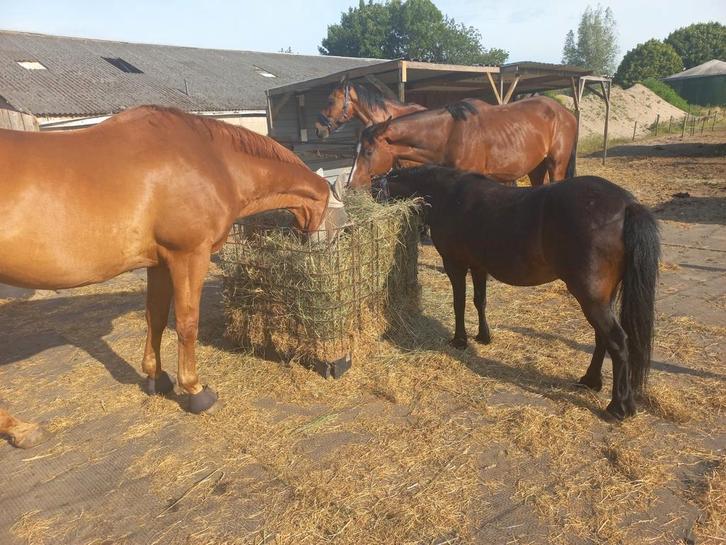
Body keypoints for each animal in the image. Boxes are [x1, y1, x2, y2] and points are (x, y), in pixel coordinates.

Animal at [0, 105, 340, 448]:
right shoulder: (188, 256)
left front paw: (157, 378)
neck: (213, 159)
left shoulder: (160, 263)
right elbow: (187, 324)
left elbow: (157, 319)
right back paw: (21, 428)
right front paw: (196, 391)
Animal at [348, 96, 577, 189]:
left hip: (556, 164)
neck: (450, 133)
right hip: (536, 167)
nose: (351, 184)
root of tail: (566, 113)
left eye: (368, 151)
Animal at [375, 166, 660, 419]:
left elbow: (459, 303)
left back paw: (619, 407)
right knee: (603, 338)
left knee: (617, 341)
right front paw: (483, 336)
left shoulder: (455, 265)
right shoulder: (479, 267)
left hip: (591, 297)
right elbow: (479, 301)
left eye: (374, 190)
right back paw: (590, 381)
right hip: (602, 297)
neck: (448, 194)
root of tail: (627, 206)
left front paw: (459, 340)